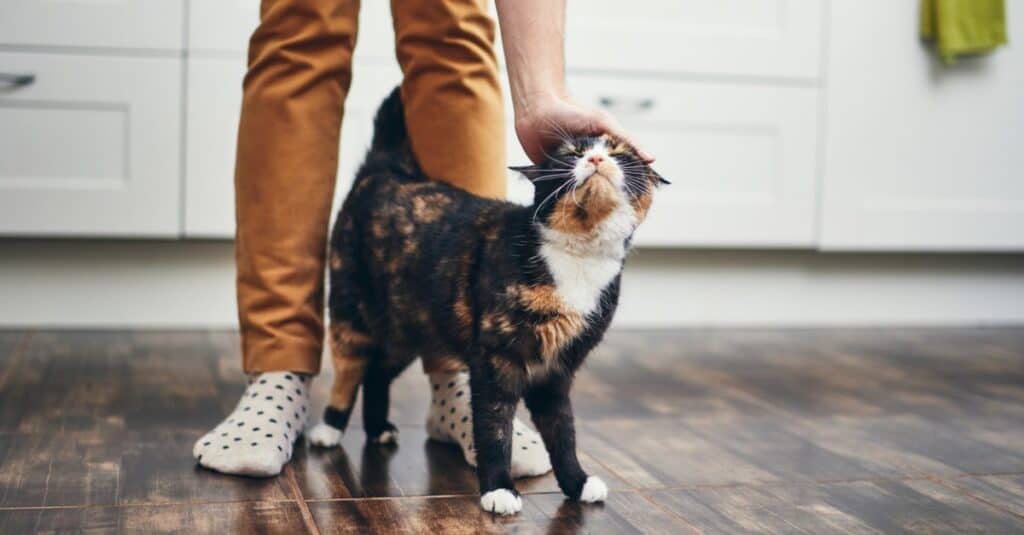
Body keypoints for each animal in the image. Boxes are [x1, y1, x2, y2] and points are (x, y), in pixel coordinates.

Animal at [315, 87, 663, 512]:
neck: (578, 257)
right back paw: (329, 428)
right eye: (571, 153)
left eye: (619, 153)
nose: (596, 159)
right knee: (349, 371)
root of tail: (386, 170)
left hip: (409, 329)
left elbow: (563, 432)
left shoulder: (557, 371)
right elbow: (494, 427)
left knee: (378, 372)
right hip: (351, 312)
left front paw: (577, 482)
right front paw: (498, 488)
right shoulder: (496, 359)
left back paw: (378, 428)